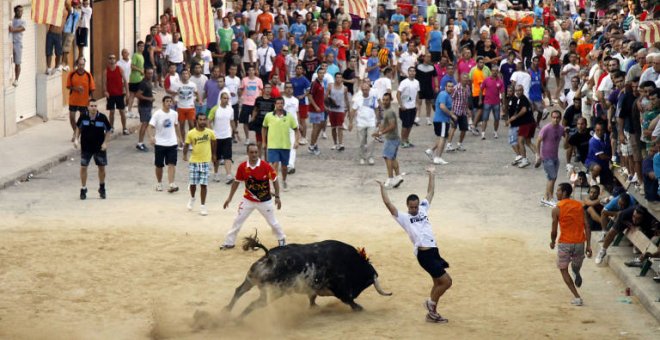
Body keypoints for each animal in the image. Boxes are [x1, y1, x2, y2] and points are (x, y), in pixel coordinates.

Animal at [227, 238, 392, 318]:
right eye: (368, 280)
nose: (355, 293)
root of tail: (269, 257)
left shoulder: (314, 288)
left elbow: (312, 298)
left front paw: (313, 307)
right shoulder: (340, 289)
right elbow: (348, 300)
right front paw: (359, 308)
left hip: (250, 279)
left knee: (238, 291)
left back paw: (226, 312)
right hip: (272, 293)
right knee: (253, 304)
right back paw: (237, 320)